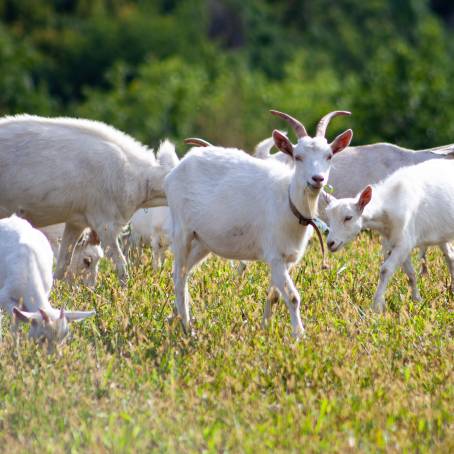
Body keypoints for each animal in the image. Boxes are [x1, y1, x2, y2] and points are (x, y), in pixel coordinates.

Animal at [0, 115, 178, 282]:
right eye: (87, 261)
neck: (136, 177)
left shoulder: (76, 222)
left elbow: (62, 266)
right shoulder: (105, 225)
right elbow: (121, 265)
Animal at [0, 215, 94, 350]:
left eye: (65, 336)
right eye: (43, 337)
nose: (53, 356)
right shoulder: (4, 297)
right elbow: (15, 318)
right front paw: (14, 346)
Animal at [165, 109, 352, 336]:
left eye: (329, 156)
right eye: (298, 157)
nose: (317, 179)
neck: (288, 204)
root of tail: (179, 167)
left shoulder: (286, 260)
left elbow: (275, 295)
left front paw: (266, 330)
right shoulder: (275, 256)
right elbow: (292, 297)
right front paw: (299, 336)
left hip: (203, 241)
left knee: (184, 273)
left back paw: (174, 319)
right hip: (181, 230)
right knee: (179, 275)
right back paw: (187, 327)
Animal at [322, 160, 454, 312]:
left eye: (348, 217)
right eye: (329, 217)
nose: (330, 243)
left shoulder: (404, 241)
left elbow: (385, 269)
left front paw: (377, 306)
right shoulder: (394, 242)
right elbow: (411, 273)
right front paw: (417, 299)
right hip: (440, 231)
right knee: (450, 256)